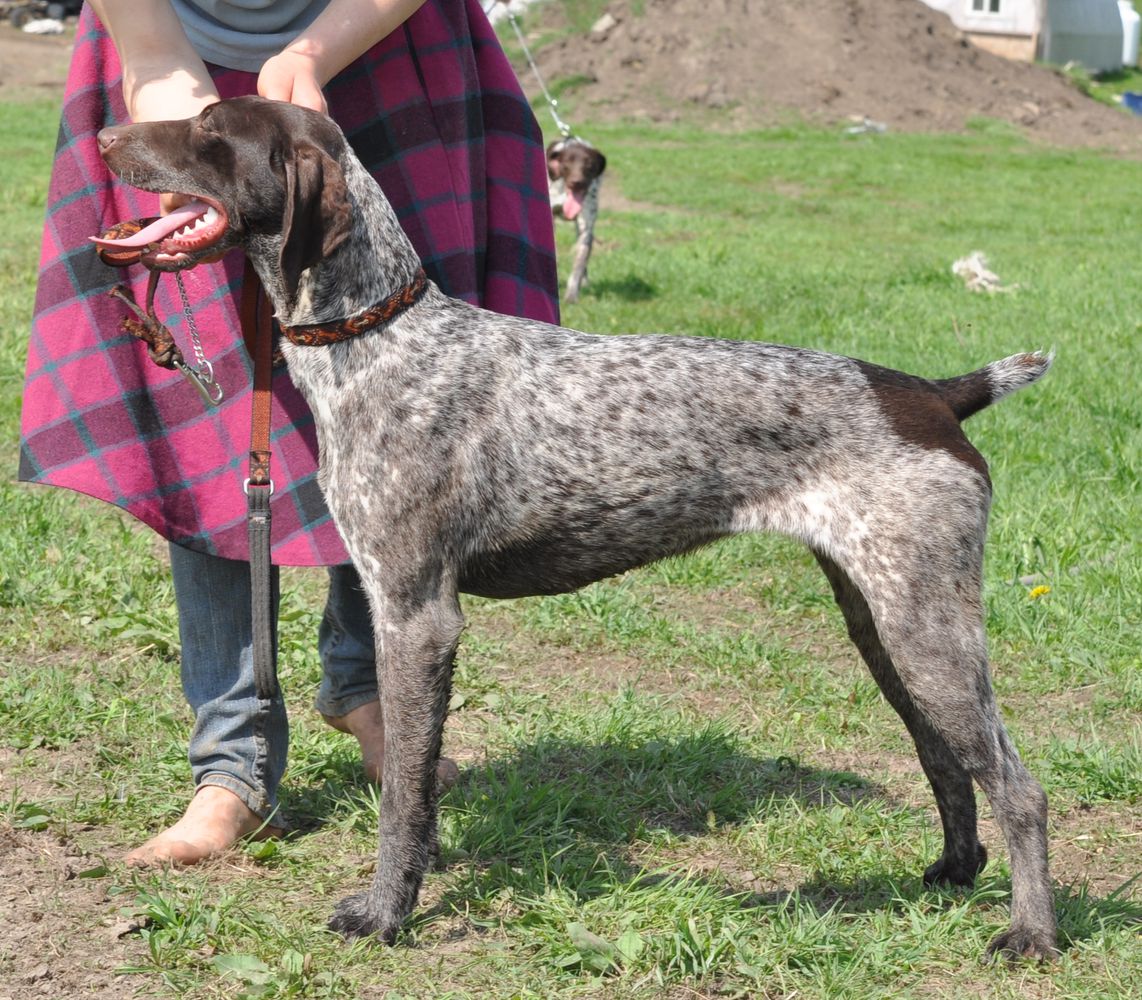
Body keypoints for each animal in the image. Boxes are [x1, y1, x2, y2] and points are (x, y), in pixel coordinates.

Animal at [545, 135, 607, 303]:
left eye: (589, 165)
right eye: (567, 164)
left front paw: (572, 294)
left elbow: (579, 264)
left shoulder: (586, 229)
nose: (576, 182)